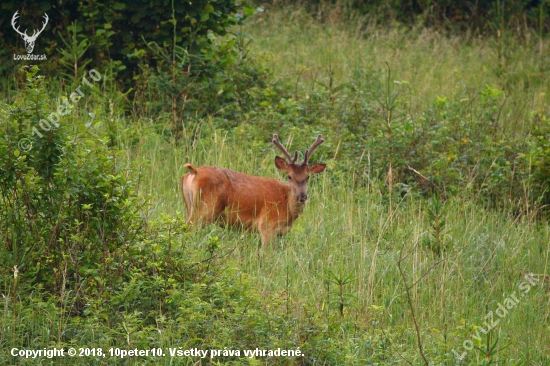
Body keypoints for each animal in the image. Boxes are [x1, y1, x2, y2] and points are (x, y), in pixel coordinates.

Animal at [181, 135, 328, 249]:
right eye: (289, 176)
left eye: (307, 177)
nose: (302, 196)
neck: (287, 208)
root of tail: (194, 171)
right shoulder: (267, 225)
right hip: (205, 209)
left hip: (189, 207)